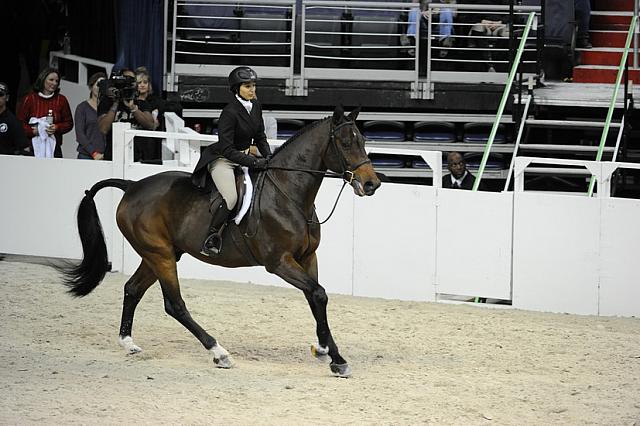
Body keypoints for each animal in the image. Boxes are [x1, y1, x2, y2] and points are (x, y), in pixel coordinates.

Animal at [60, 105, 380, 376]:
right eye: (345, 143)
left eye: (362, 140)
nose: (371, 183)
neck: (288, 194)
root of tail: (132, 186)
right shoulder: (279, 262)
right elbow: (318, 293)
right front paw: (337, 359)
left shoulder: (307, 257)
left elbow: (315, 297)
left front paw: (323, 348)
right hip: (160, 255)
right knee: (174, 304)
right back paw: (219, 352)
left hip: (159, 254)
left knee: (132, 289)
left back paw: (128, 343)